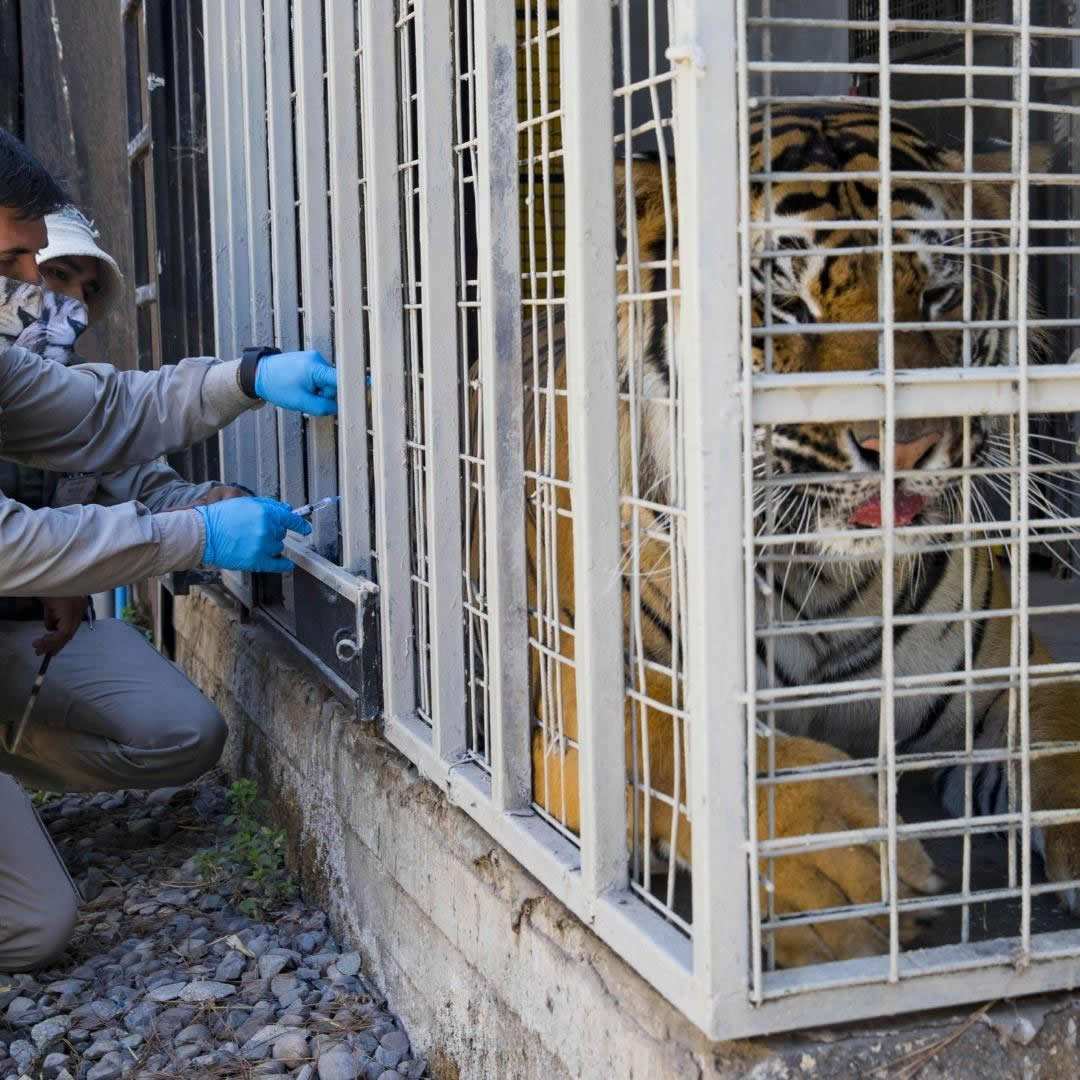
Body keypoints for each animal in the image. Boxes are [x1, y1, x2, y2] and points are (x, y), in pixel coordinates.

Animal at [475, 103, 1080, 970]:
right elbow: (674, 734)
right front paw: (834, 864)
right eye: (785, 303)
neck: (825, 580)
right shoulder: (573, 699)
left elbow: (1065, 732)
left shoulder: (1013, 668)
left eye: (938, 290)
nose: (907, 444)